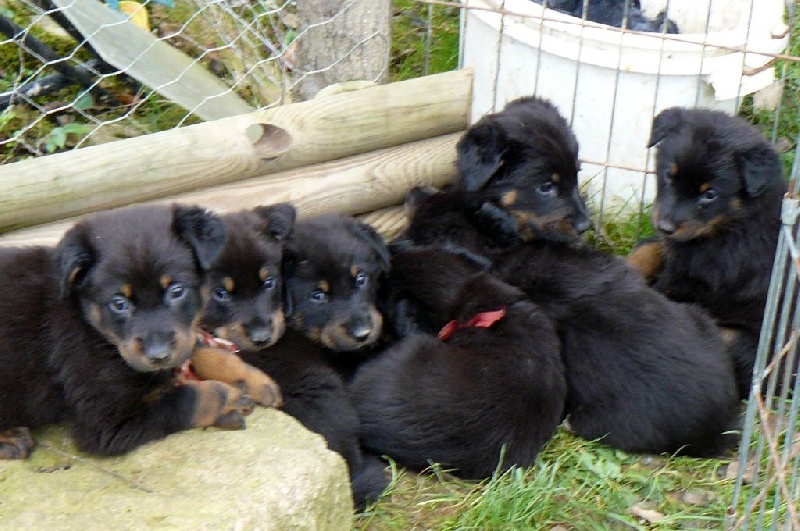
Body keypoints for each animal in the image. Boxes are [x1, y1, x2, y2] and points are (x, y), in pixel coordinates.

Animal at [0, 204, 253, 462]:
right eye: (119, 303)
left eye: (176, 291)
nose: (159, 356)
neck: (92, 327)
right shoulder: (108, 421)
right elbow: (184, 400)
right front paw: (226, 399)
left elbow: (202, 352)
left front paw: (251, 379)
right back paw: (10, 439)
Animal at [624, 108, 788, 400]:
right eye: (669, 175)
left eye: (710, 194)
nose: (665, 226)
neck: (731, 223)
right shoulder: (675, 247)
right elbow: (647, 250)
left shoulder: (689, 280)